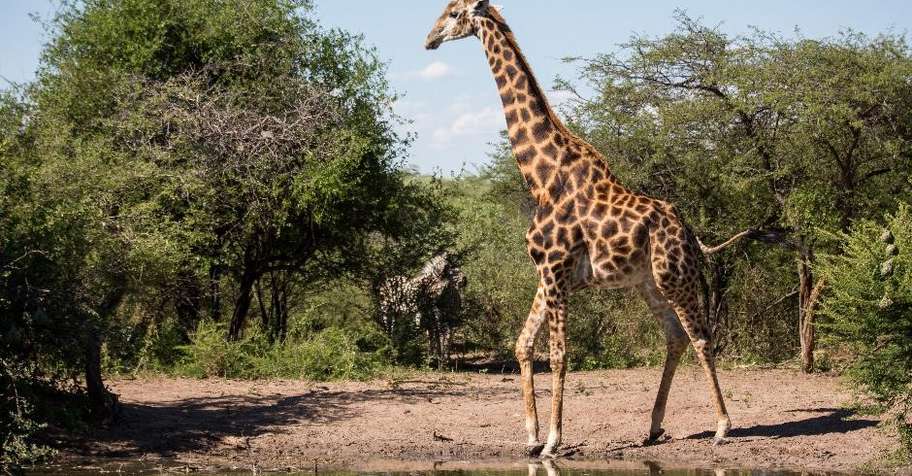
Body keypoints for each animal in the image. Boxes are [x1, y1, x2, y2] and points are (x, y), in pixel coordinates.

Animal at [425, 0, 732, 458]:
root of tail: (692, 236)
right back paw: (653, 427)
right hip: (648, 284)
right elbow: (523, 344)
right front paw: (531, 436)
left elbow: (559, 354)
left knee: (701, 338)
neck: (541, 177)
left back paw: (723, 426)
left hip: (675, 278)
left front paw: (553, 440)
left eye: (454, 13)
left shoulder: (555, 270)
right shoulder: (548, 273)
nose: (429, 40)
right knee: (675, 338)